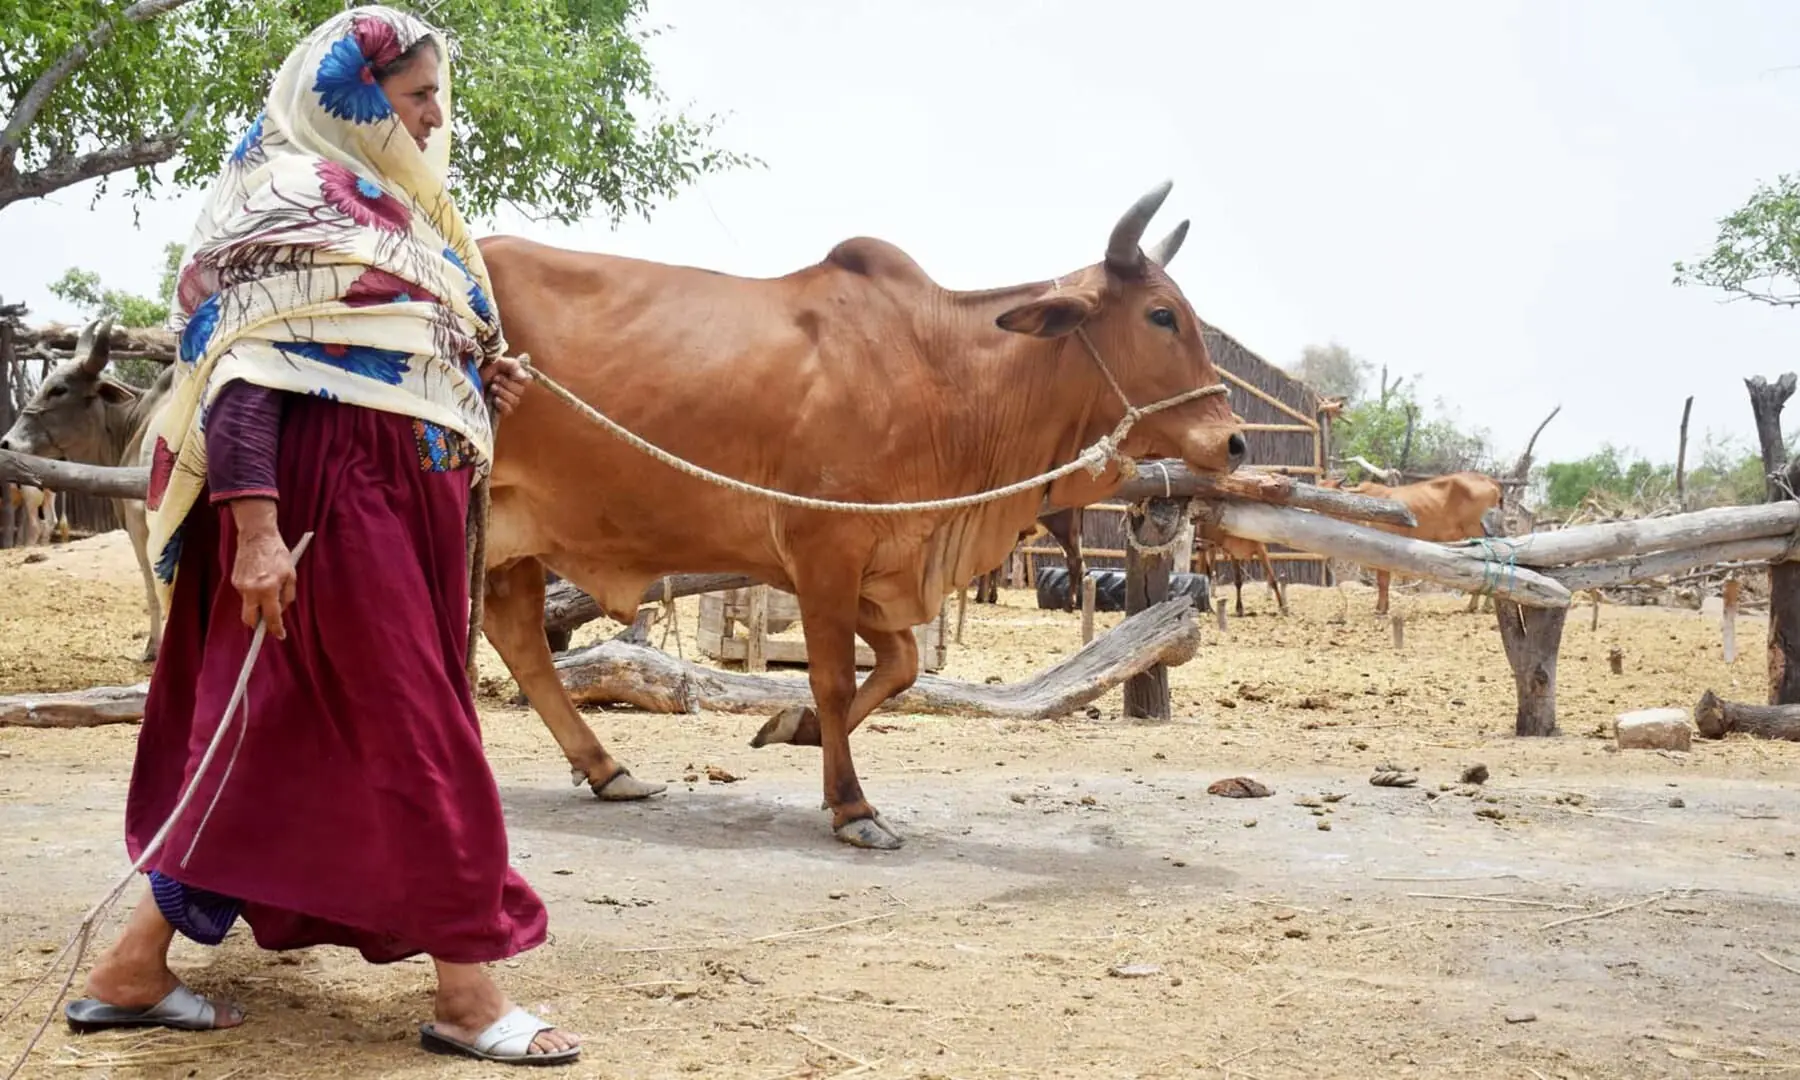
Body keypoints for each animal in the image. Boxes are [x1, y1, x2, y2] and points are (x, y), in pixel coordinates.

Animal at [475, 181, 1246, 849]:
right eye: (1161, 315)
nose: (1235, 440)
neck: (943, 371)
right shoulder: (827, 550)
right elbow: (836, 678)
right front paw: (852, 806)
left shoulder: (882, 559)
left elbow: (902, 666)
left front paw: (797, 727)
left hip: (515, 537)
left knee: (521, 640)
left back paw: (607, 769)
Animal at [1318, 470, 1503, 615]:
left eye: (1330, 492)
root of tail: (1489, 480)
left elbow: (1383, 580)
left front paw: (1381, 609)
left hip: (1478, 531)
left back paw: (1478, 605)